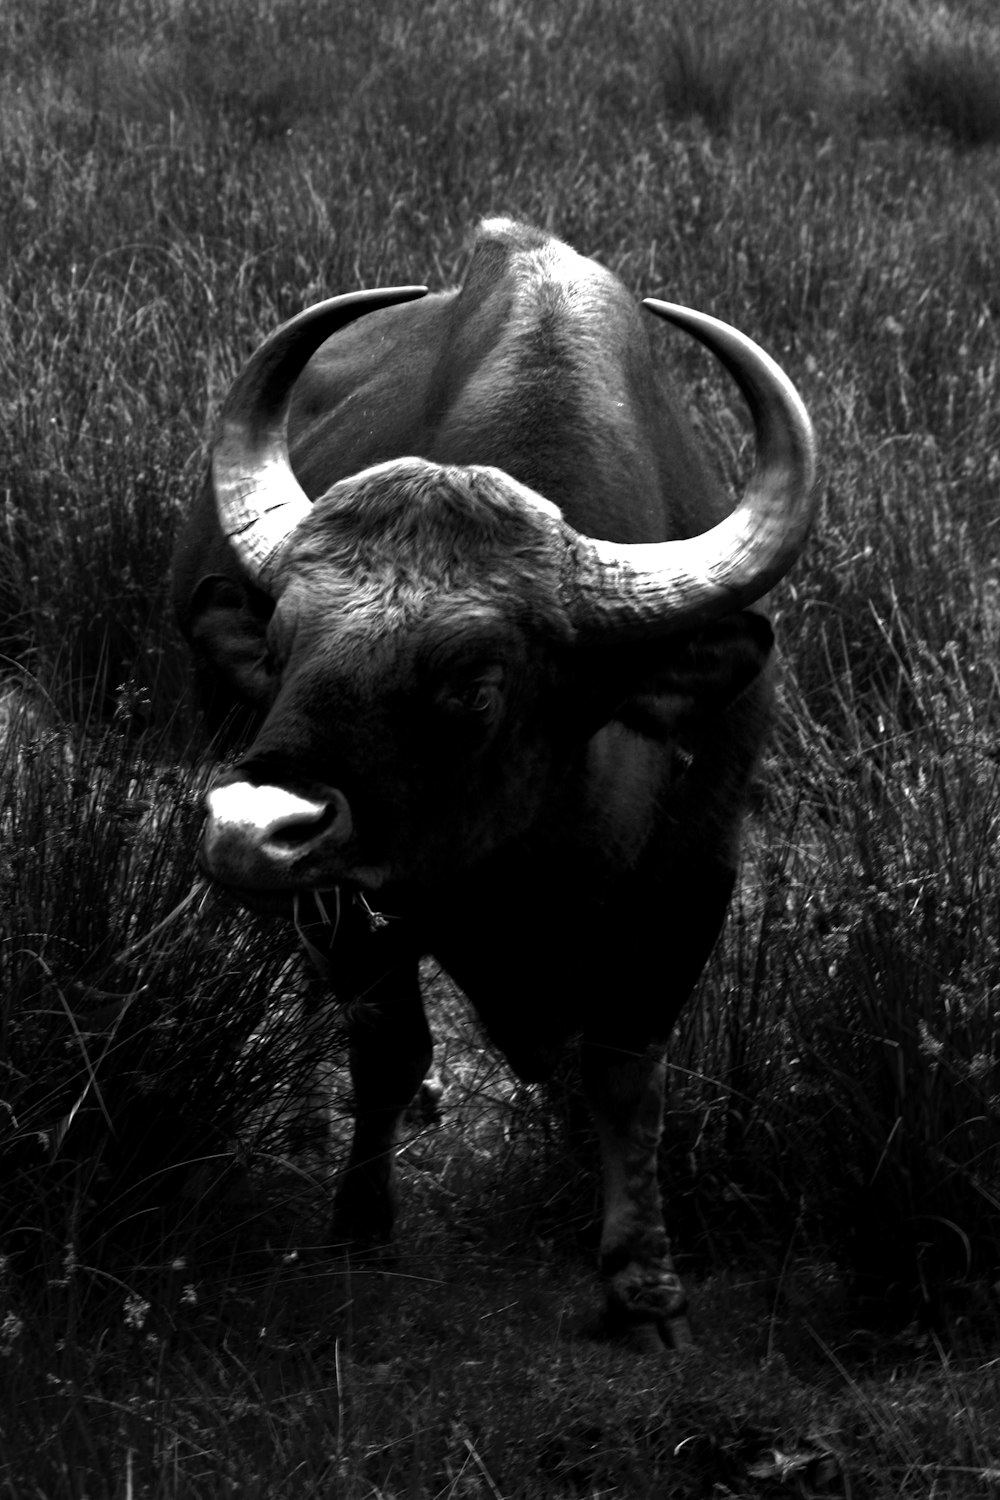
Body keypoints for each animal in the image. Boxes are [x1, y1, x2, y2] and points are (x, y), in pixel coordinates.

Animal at [172, 217, 815, 1356]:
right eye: (283, 650)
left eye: (474, 681)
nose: (253, 827)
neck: (530, 872)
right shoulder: (360, 899)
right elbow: (387, 1041)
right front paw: (360, 1223)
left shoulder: (695, 878)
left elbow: (624, 1071)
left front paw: (644, 1288)